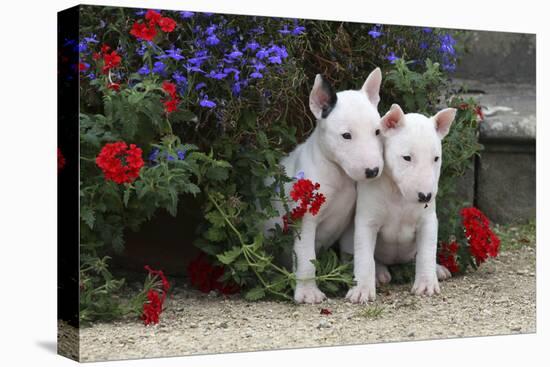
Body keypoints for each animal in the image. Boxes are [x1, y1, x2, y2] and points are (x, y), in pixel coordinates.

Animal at [266, 69, 386, 304]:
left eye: (377, 132)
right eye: (346, 135)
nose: (373, 171)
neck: (339, 174)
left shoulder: (350, 221)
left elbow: (351, 251)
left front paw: (353, 281)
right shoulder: (304, 220)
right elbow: (306, 257)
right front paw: (308, 292)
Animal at [348, 104, 460, 304]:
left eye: (436, 158)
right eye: (407, 157)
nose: (425, 197)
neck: (399, 195)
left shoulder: (428, 221)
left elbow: (426, 252)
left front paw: (426, 284)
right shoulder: (366, 221)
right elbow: (364, 256)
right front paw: (361, 290)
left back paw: (438, 269)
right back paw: (379, 274)